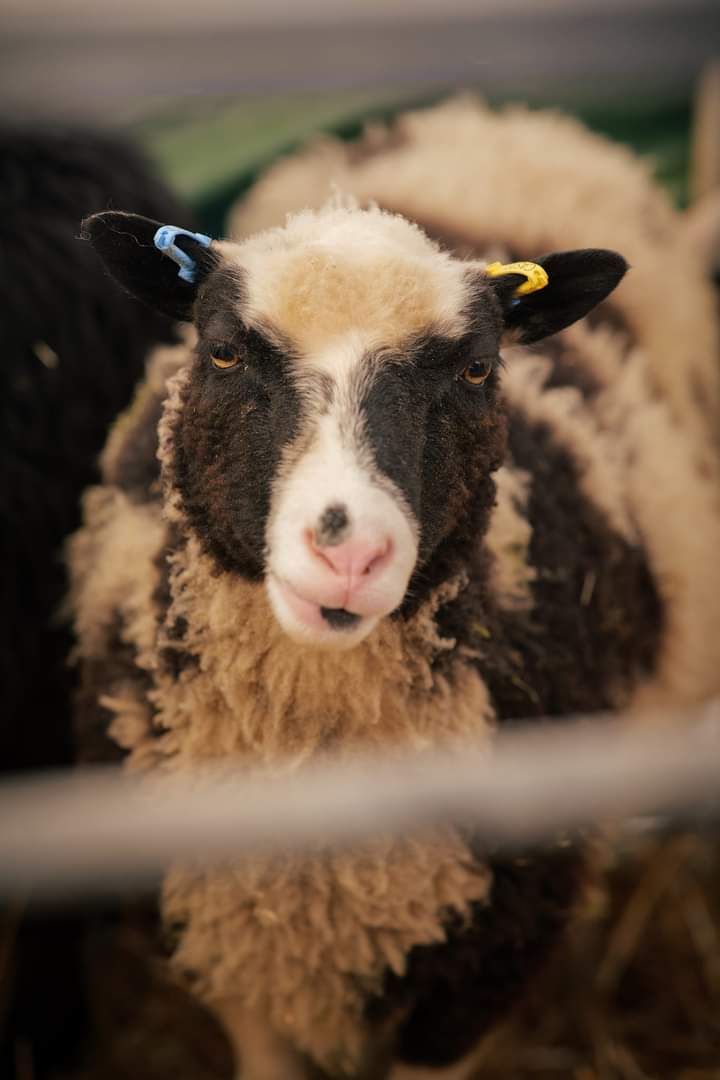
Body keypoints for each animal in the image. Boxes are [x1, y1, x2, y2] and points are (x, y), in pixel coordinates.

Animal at [70, 97, 720, 1080]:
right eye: (221, 351)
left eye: (478, 368)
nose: (350, 553)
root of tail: (496, 117)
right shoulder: (229, 937)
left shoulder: (484, 960)